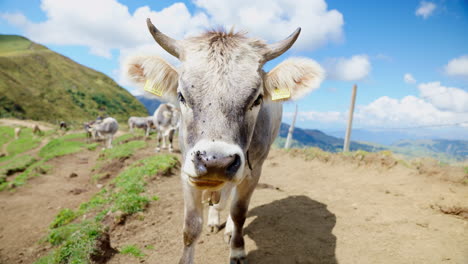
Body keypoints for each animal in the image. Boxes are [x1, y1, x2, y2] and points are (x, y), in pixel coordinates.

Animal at [124, 19, 324, 264]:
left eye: (257, 98)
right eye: (181, 95)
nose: (215, 161)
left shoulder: (253, 170)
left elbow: (239, 212)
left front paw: (236, 249)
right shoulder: (187, 170)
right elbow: (191, 226)